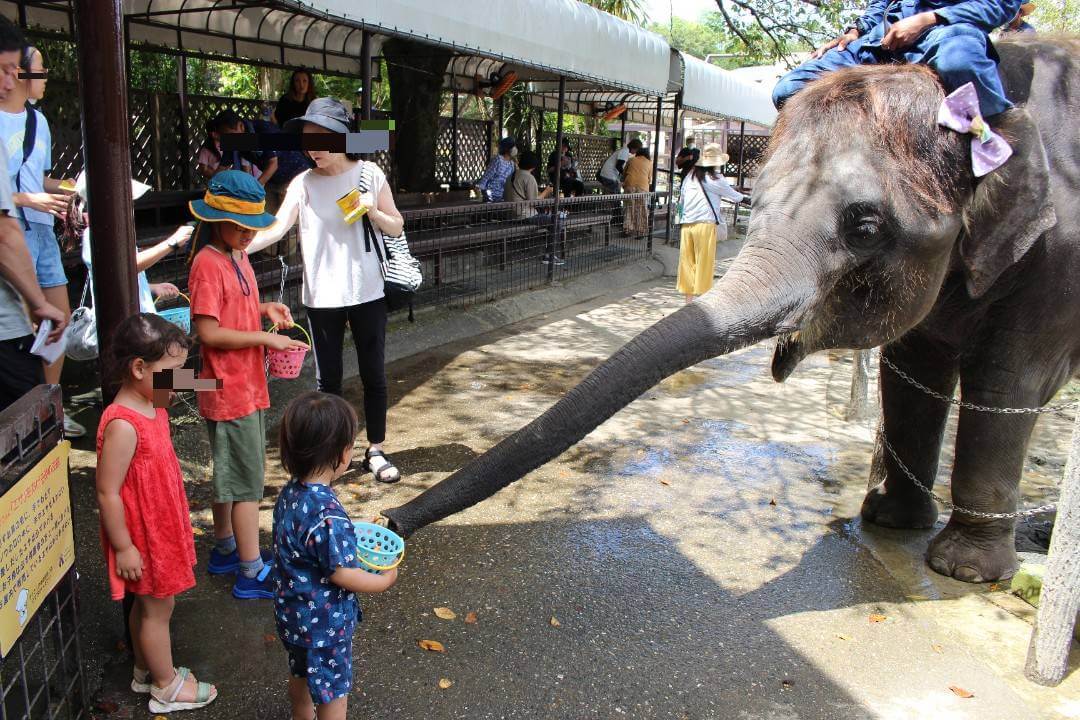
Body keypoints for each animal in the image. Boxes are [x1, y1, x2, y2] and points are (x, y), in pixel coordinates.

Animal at [384, 35, 1075, 587]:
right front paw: (888, 521)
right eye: (758, 196)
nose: (387, 520)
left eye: (866, 226)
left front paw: (963, 571)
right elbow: (911, 369)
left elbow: (1006, 383)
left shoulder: (1057, 259)